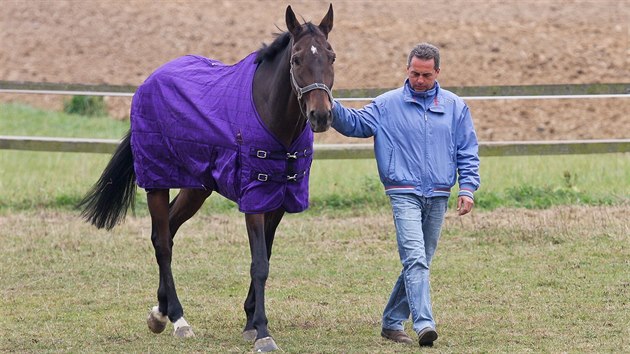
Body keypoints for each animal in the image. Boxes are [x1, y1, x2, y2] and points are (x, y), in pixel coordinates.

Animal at [80, 4, 336, 352]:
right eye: (296, 59)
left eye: (331, 56)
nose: (320, 116)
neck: (271, 117)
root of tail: (150, 82)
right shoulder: (253, 198)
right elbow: (260, 263)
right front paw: (262, 330)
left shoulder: (279, 201)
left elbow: (265, 256)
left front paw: (250, 321)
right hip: (157, 181)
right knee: (162, 241)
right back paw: (177, 318)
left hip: (196, 189)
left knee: (168, 229)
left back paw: (159, 312)